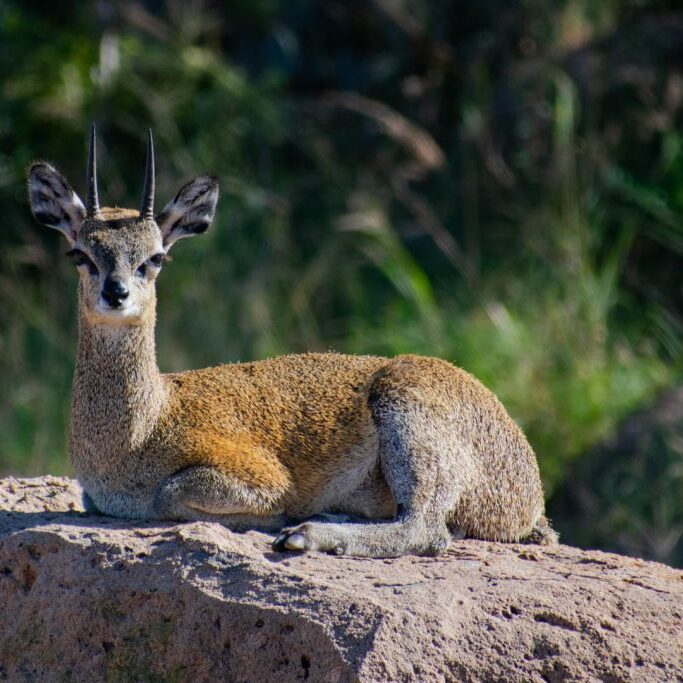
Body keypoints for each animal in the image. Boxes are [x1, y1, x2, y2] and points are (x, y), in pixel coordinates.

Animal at [26, 127, 556, 556]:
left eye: (155, 257)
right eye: (80, 253)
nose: (115, 293)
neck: (144, 427)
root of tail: (530, 491)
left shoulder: (257, 474)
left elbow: (174, 493)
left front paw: (279, 517)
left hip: (407, 414)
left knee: (426, 530)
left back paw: (305, 533)